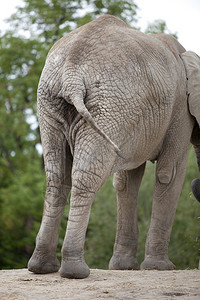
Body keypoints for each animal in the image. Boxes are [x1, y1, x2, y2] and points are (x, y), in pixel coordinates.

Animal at [28, 15, 200, 278]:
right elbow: (168, 175)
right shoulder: (180, 111)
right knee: (86, 176)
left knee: (56, 177)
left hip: (55, 103)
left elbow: (126, 181)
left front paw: (124, 267)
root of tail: (71, 73)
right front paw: (160, 268)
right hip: (109, 105)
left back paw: (42, 268)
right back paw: (75, 271)